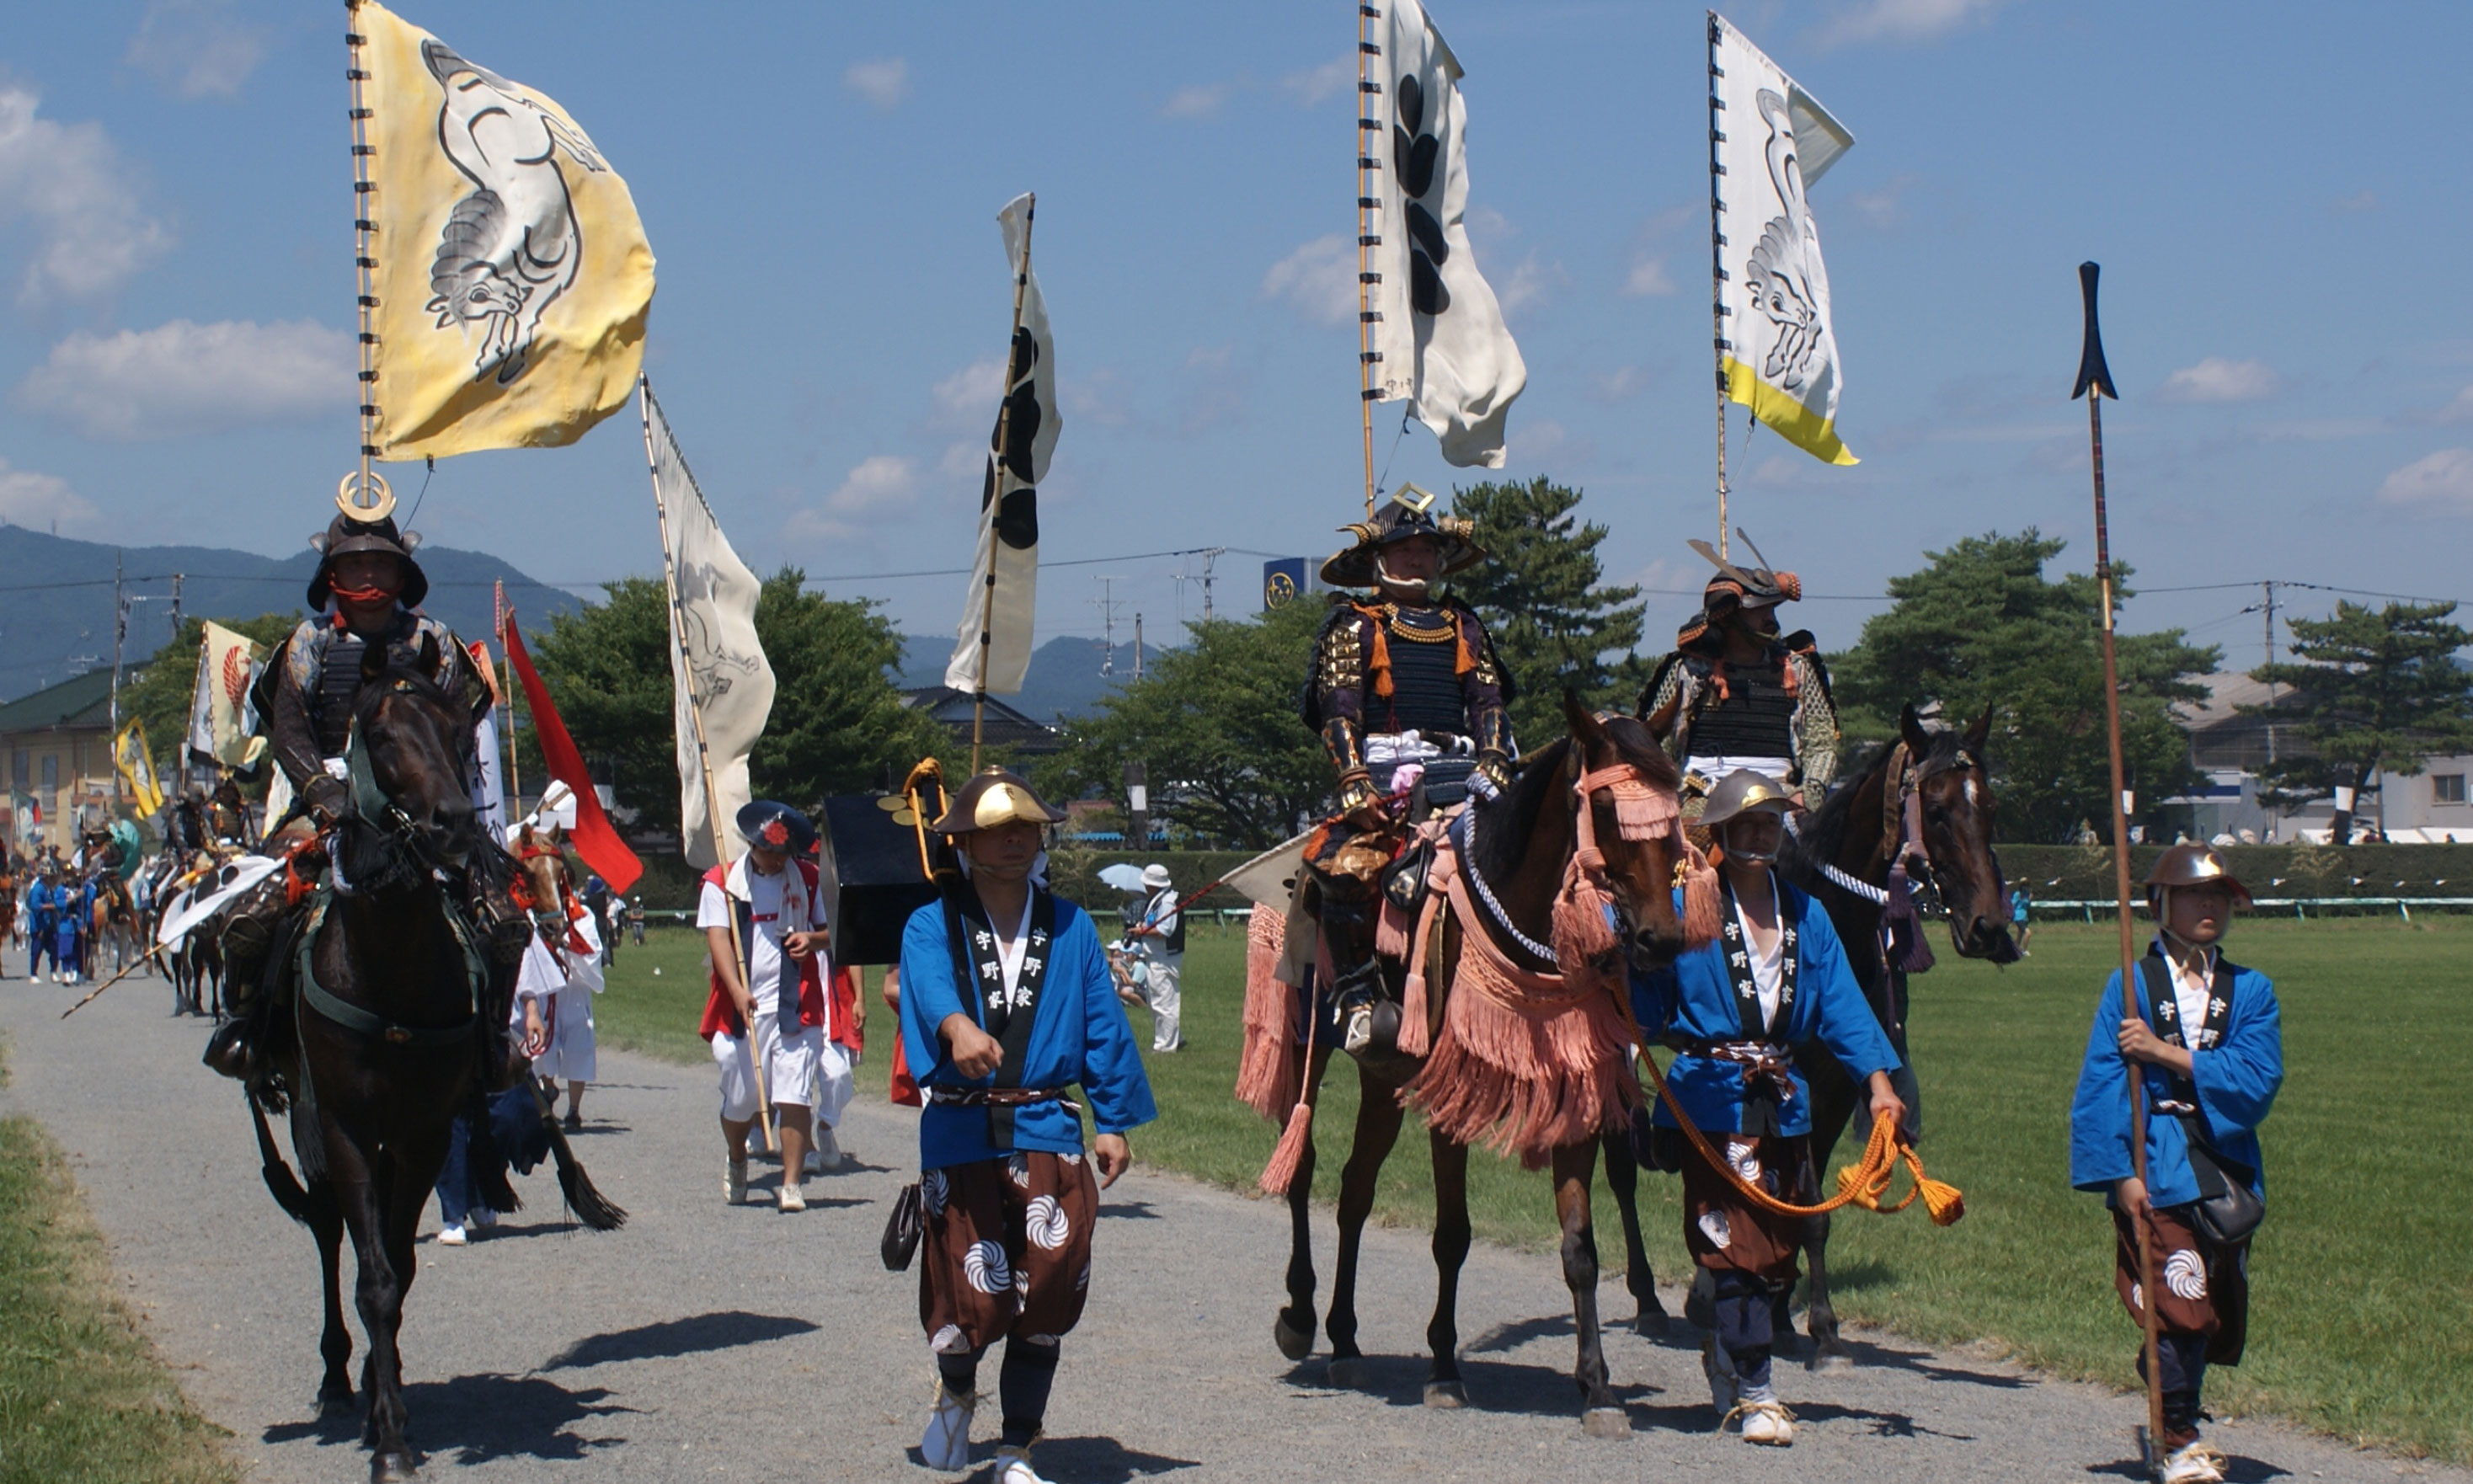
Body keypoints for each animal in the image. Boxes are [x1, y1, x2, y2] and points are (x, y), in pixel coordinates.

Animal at [246, 638, 622, 1484]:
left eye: (458, 735)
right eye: (382, 737)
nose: (450, 822)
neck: (390, 966)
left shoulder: (418, 1126)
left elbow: (396, 1268)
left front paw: (391, 1414)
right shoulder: (345, 1124)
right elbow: (371, 1274)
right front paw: (385, 1434)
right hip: (312, 1121)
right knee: (329, 1232)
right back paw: (336, 1377)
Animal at [1275, 702, 1701, 1434]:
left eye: (1673, 809)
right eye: (1606, 807)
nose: (1660, 939)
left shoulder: (1576, 1095)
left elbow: (1581, 1248)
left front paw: (1598, 1388)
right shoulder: (1452, 1095)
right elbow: (1452, 1235)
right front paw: (1445, 1368)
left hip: (1384, 1083)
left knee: (1355, 1193)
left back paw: (1347, 1339)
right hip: (1314, 1038)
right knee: (1303, 1169)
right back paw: (1302, 1318)